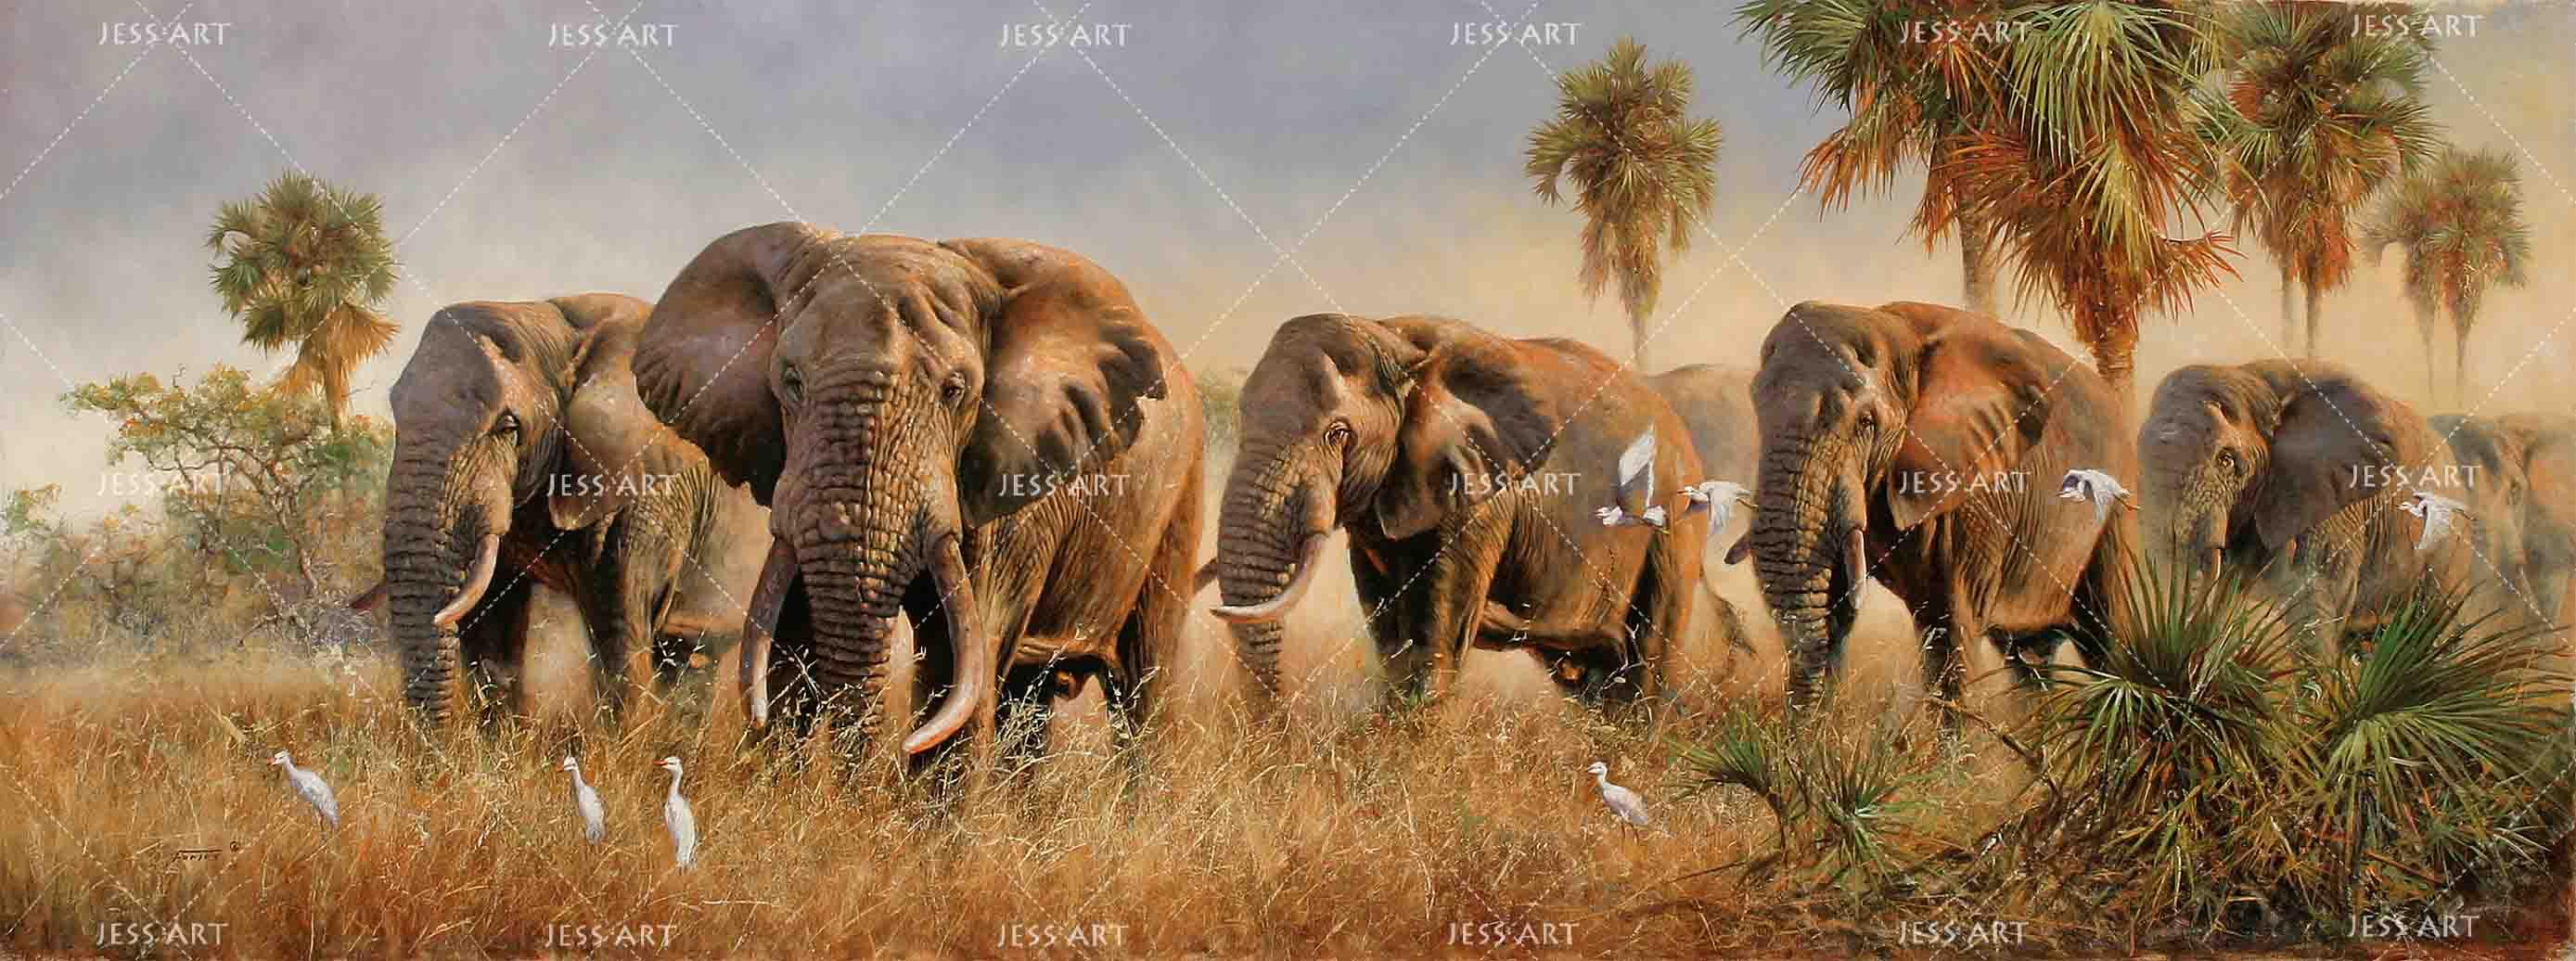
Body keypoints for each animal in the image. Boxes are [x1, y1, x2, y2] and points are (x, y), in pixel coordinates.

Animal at [365, 294, 769, 726]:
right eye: (397, 418)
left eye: (508, 427)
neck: (550, 323)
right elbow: (492, 618)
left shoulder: (648, 488)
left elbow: (621, 630)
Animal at [628, 222, 1204, 764]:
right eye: (791, 383)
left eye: (954, 391)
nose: (862, 778)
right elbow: (790, 641)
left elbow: (958, 665)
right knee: (1028, 700)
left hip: (1181, 495)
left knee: (1144, 686)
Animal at [1204, 312, 1706, 712]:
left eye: (1338, 433)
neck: (1392, 339)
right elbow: (1390, 632)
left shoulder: (1480, 501)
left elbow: (1435, 636)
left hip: (1674, 525)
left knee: (1648, 665)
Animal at [1733, 301, 2135, 717]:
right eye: (1758, 407)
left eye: (1866, 422)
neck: (1896, 332)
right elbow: (1833, 599)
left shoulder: (1977, 492)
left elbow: (1952, 622)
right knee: (2028, 661)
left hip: (2115, 505)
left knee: (2107, 636)